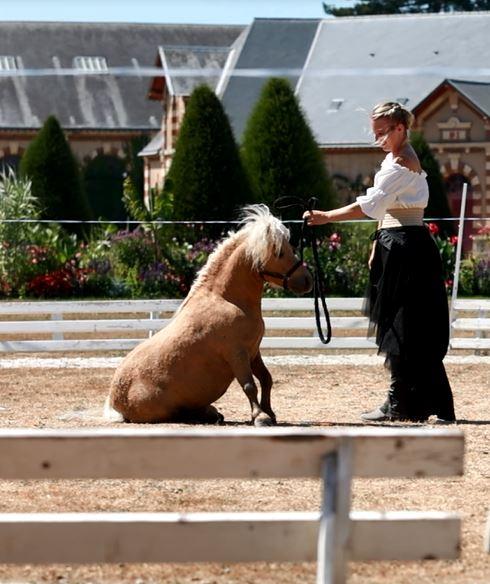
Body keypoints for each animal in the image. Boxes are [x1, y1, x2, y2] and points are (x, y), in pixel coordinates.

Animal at [107, 204, 314, 424]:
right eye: (279, 252)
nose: (307, 280)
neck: (226, 299)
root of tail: (115, 402)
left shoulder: (253, 351)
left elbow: (266, 379)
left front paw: (270, 413)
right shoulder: (237, 354)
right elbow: (249, 385)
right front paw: (260, 417)